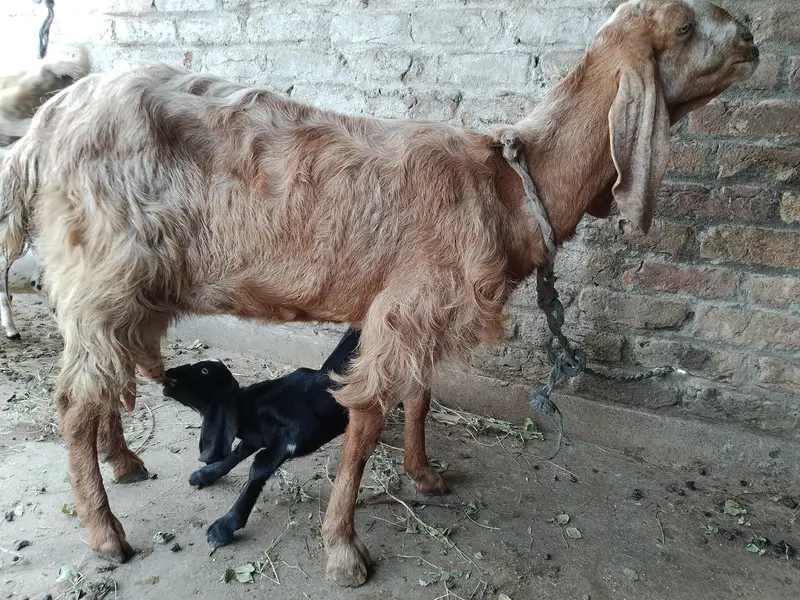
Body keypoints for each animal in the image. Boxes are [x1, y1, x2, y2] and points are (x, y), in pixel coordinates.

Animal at [162, 326, 359, 549]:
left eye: (204, 371)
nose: (168, 372)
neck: (250, 408)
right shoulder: (255, 437)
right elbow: (236, 453)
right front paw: (206, 474)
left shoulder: (296, 434)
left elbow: (259, 467)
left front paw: (225, 526)